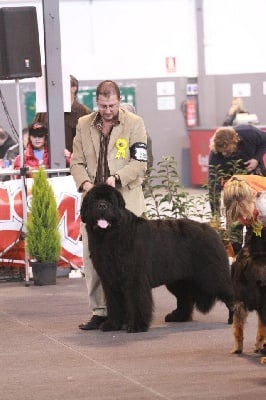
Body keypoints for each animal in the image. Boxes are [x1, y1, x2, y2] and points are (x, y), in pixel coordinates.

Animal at [80, 184, 233, 332]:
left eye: (110, 201)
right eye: (94, 200)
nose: (102, 205)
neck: (110, 236)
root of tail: (211, 230)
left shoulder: (134, 278)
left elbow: (136, 301)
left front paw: (136, 326)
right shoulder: (109, 279)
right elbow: (114, 303)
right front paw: (112, 325)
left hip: (211, 276)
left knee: (229, 294)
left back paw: (233, 319)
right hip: (179, 279)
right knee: (184, 298)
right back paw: (177, 317)